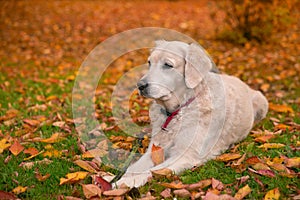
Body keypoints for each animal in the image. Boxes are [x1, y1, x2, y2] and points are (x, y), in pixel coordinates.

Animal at [116, 40, 268, 188]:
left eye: (168, 65)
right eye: (149, 63)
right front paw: (117, 179)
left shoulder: (186, 155)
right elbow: (133, 167)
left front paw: (126, 182)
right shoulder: (155, 149)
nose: (140, 85)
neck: (178, 110)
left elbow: (152, 171)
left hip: (262, 101)